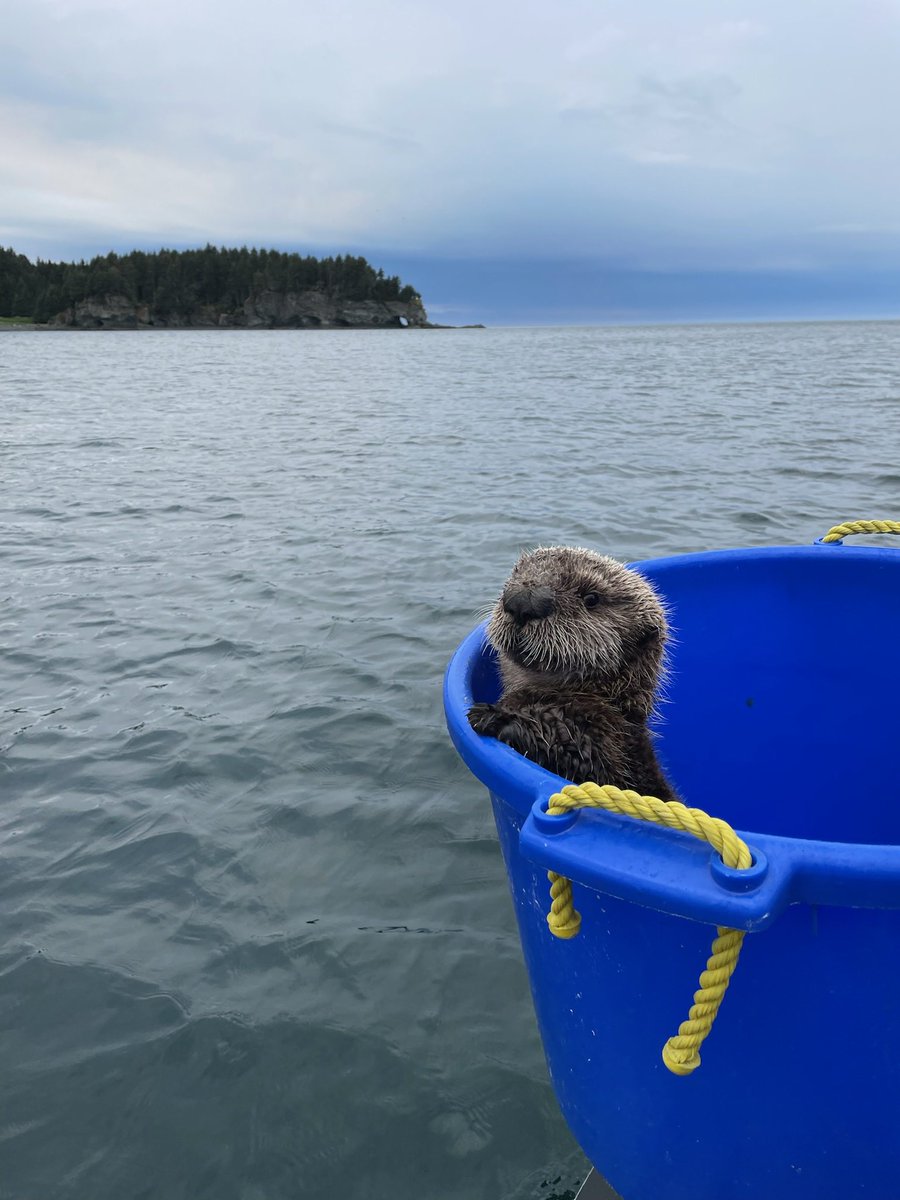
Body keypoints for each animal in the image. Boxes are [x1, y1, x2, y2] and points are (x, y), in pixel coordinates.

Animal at [468, 546, 677, 800]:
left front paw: (499, 717)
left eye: (591, 598)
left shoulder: (607, 737)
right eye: (517, 572)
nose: (523, 600)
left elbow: (581, 758)